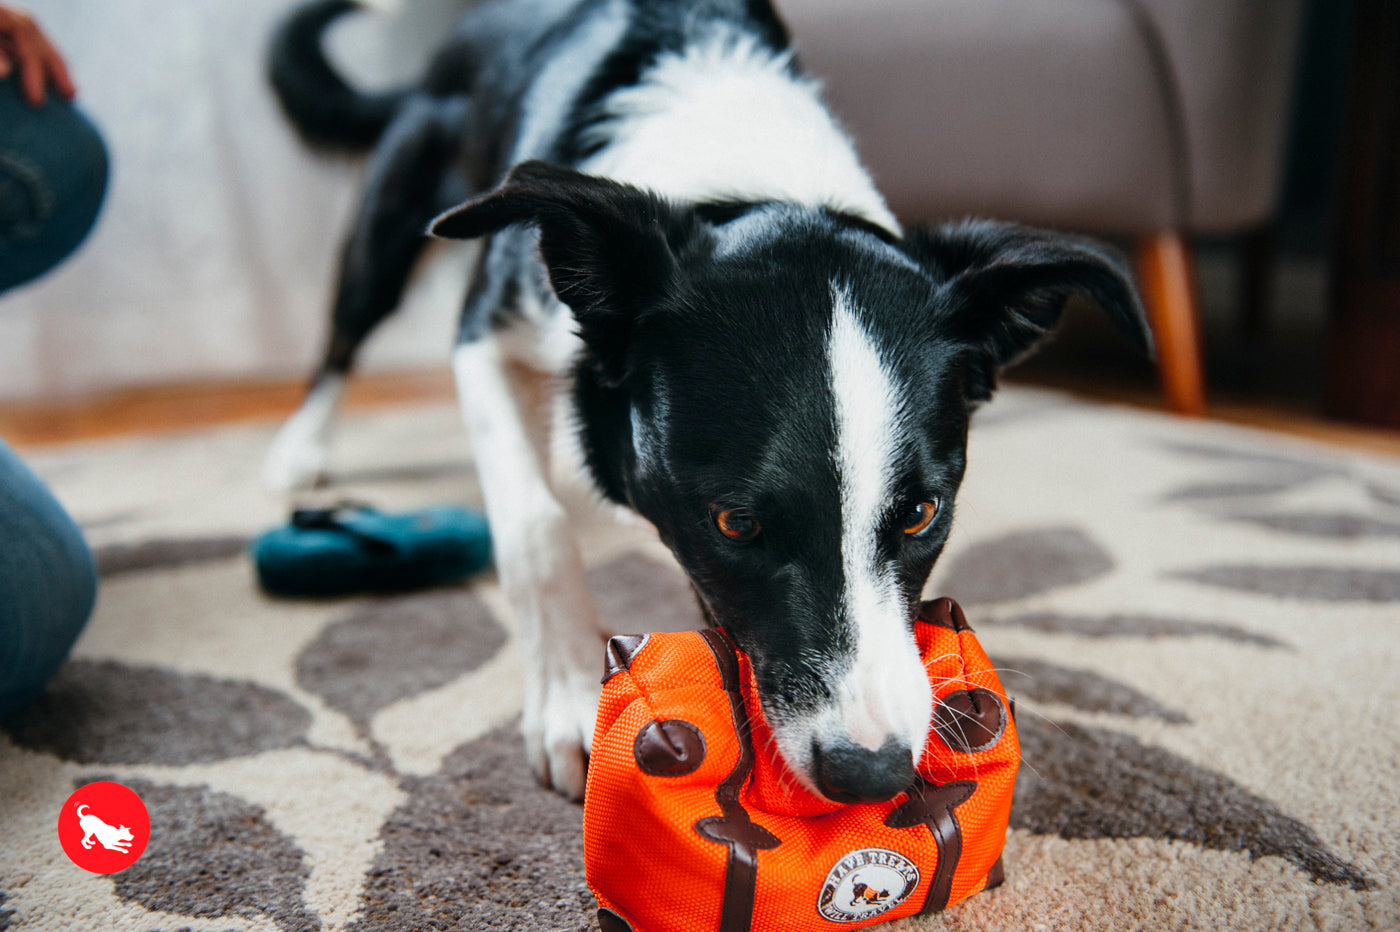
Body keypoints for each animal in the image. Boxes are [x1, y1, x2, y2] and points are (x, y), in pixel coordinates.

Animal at [263, 0, 1148, 800]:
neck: (749, 174)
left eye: (923, 514)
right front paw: (568, 698)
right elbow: (533, 527)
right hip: (392, 221)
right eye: (735, 524)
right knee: (342, 339)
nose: (873, 774)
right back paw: (296, 452)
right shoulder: (483, 332)